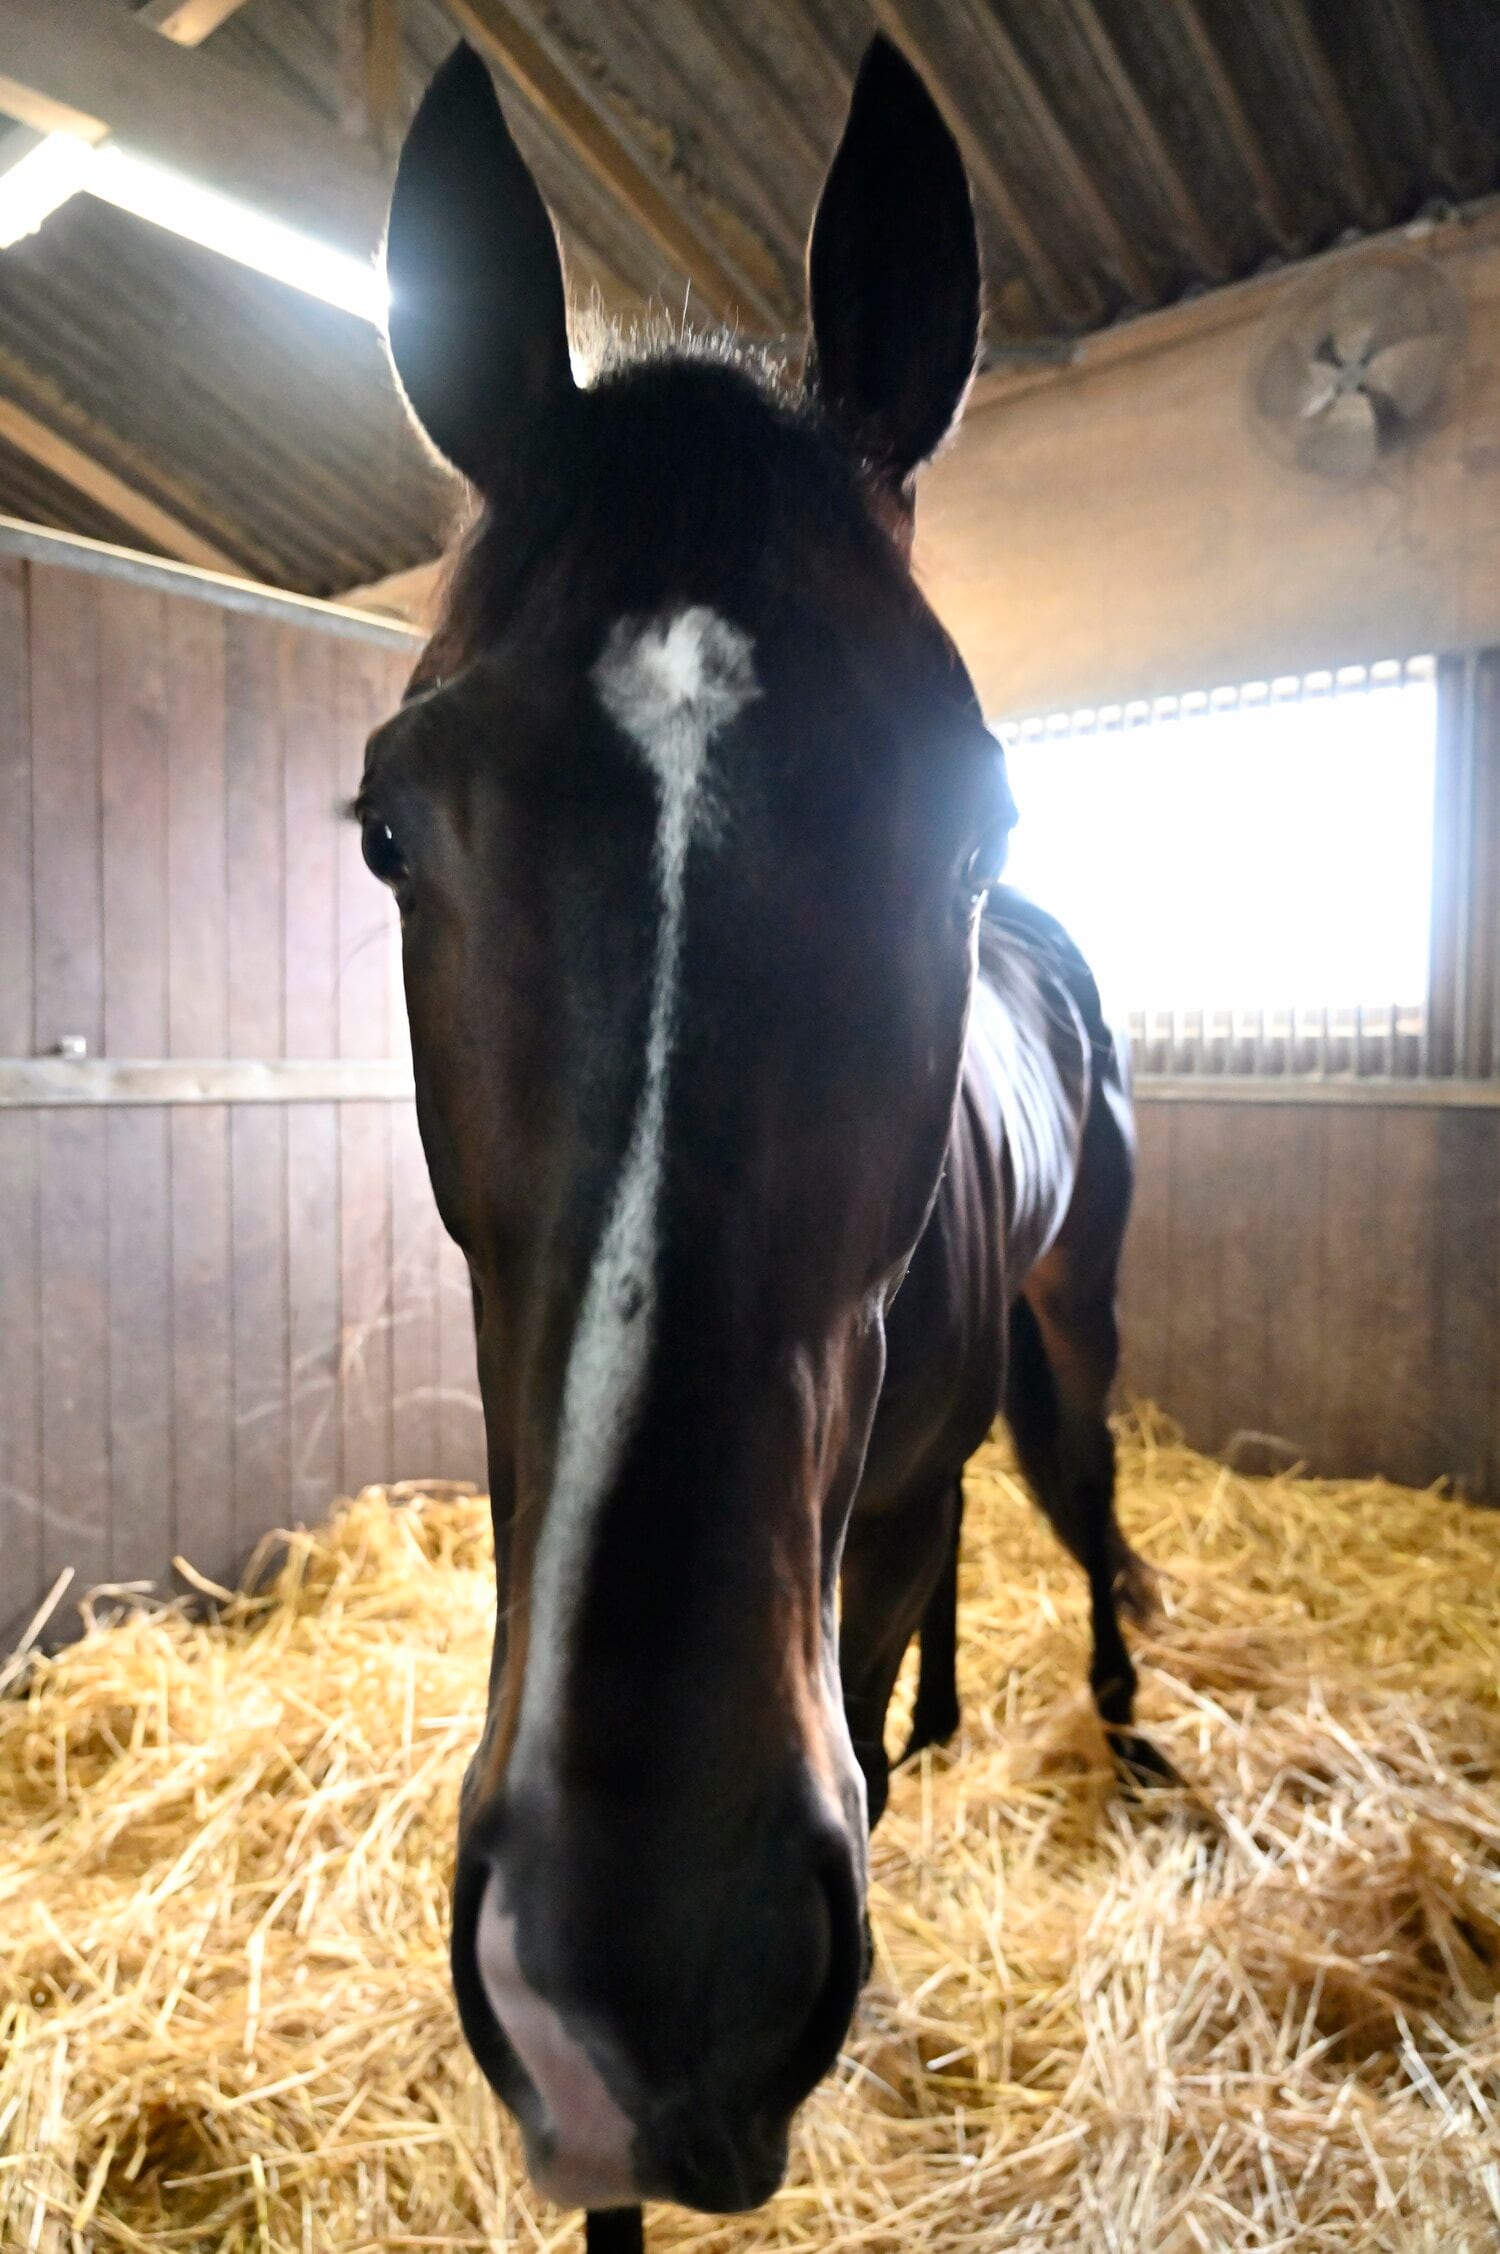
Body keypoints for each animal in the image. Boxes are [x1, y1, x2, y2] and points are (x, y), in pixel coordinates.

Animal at [361, 35, 1168, 2246]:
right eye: (388, 829)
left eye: (971, 815)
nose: (653, 1980)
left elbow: (879, 1709)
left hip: (1076, 1308)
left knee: (1073, 1482)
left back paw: (1122, 1723)